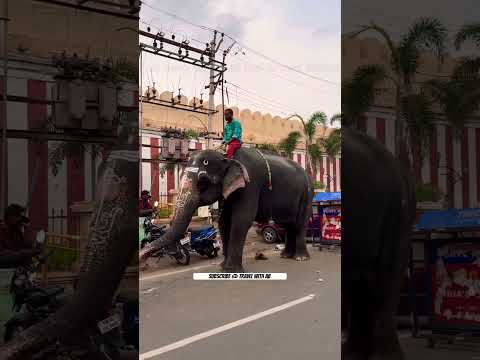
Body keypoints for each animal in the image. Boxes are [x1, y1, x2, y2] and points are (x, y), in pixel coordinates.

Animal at [139, 146, 314, 270]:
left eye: (203, 181)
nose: (142, 263)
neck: (226, 157)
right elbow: (223, 222)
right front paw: (223, 268)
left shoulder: (250, 185)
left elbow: (241, 220)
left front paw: (231, 270)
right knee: (288, 224)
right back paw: (286, 256)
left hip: (307, 195)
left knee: (299, 223)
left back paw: (301, 258)